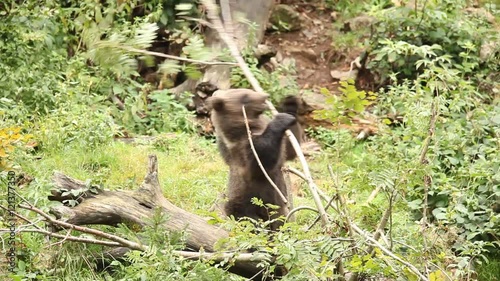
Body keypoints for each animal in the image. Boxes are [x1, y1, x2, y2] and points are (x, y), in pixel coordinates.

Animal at [206, 88, 300, 230]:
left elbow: (290, 149)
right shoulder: (244, 149)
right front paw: (281, 119)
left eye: (249, 90)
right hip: (246, 201)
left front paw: (290, 105)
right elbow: (262, 159)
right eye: (245, 97)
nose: (265, 96)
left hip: (276, 210)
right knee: (245, 216)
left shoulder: (281, 147)